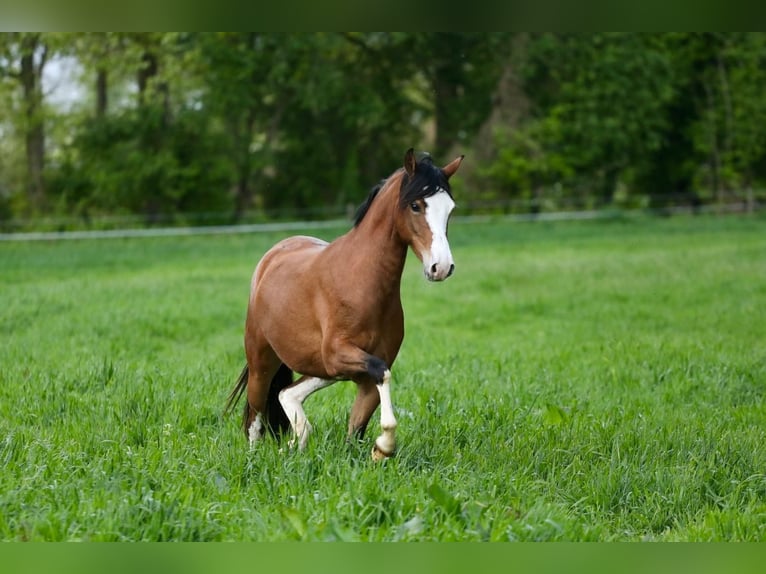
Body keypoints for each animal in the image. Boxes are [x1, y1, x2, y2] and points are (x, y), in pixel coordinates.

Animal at [225, 150, 464, 464]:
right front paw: (384, 446)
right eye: (416, 205)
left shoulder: (363, 371)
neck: (360, 282)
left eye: (450, 209)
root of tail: (272, 255)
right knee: (255, 415)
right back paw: (257, 459)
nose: (442, 267)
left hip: (320, 367)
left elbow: (356, 430)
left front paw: (378, 451)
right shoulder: (340, 355)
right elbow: (381, 374)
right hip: (263, 361)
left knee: (287, 393)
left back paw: (296, 442)